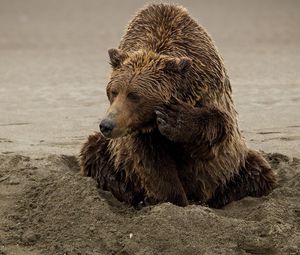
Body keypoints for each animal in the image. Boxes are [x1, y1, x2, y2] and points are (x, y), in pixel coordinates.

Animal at [79, 3, 276, 207]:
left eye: (134, 96)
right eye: (113, 91)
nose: (107, 125)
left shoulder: (207, 86)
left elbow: (217, 127)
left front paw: (175, 118)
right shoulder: (142, 134)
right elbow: (152, 164)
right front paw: (175, 200)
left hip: (235, 167)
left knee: (257, 174)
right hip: (111, 156)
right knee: (93, 151)